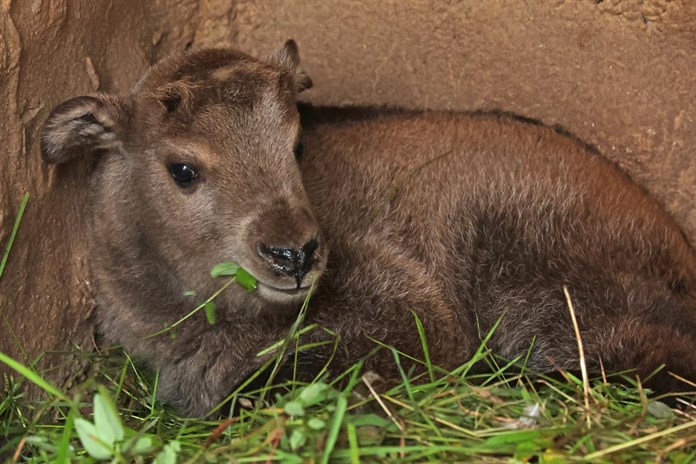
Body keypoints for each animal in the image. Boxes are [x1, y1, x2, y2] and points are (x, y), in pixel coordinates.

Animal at [40, 41, 696, 416]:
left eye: (297, 145)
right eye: (182, 169)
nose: (294, 254)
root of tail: (677, 246)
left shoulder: (409, 312)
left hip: (539, 286)